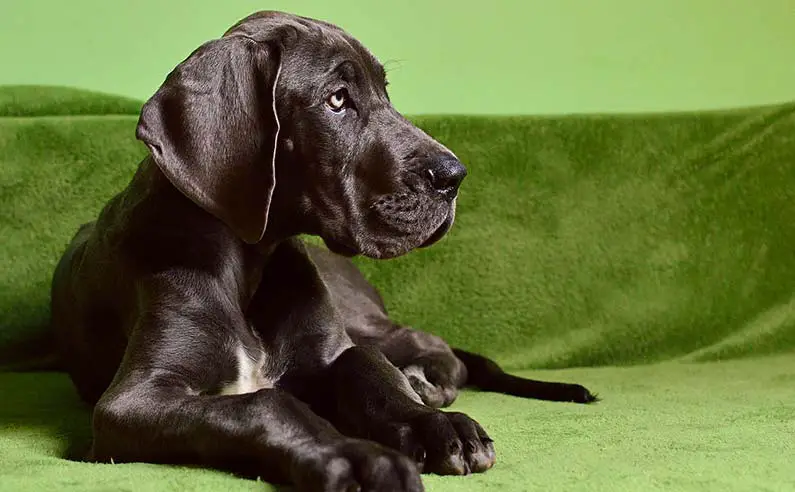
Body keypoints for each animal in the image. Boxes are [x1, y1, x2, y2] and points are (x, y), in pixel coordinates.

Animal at [48, 11, 596, 492]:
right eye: (337, 99)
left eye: (385, 94)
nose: (454, 176)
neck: (249, 263)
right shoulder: (130, 403)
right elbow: (265, 404)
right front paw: (354, 454)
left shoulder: (330, 348)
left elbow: (364, 365)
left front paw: (432, 424)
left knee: (420, 343)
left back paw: (425, 382)